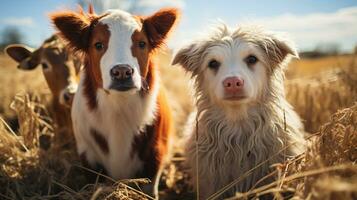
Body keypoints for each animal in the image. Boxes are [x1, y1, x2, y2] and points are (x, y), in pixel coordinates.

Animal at [50, 7, 178, 195]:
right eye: (98, 45)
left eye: (142, 43)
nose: (122, 71)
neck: (119, 109)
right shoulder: (87, 155)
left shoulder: (155, 155)